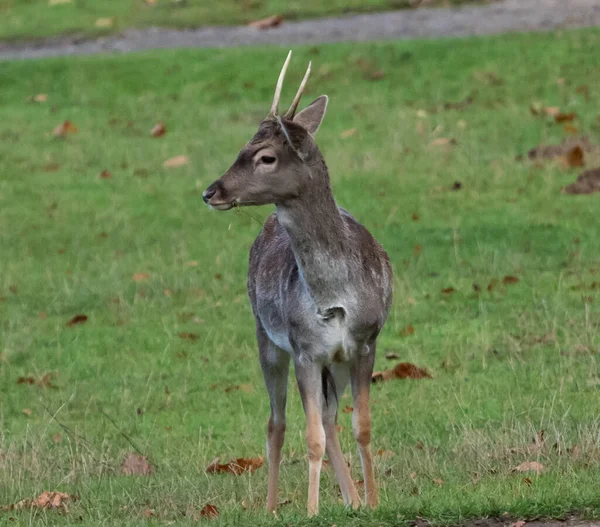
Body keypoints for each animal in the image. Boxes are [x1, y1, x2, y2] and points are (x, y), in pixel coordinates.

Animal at [203, 50, 394, 516]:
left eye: (266, 157)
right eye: (242, 148)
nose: (211, 191)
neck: (334, 294)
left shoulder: (365, 341)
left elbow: (361, 425)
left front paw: (373, 502)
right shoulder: (305, 348)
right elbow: (311, 437)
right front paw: (311, 511)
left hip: (333, 360)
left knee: (329, 415)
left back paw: (352, 499)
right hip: (266, 336)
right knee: (277, 422)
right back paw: (272, 507)